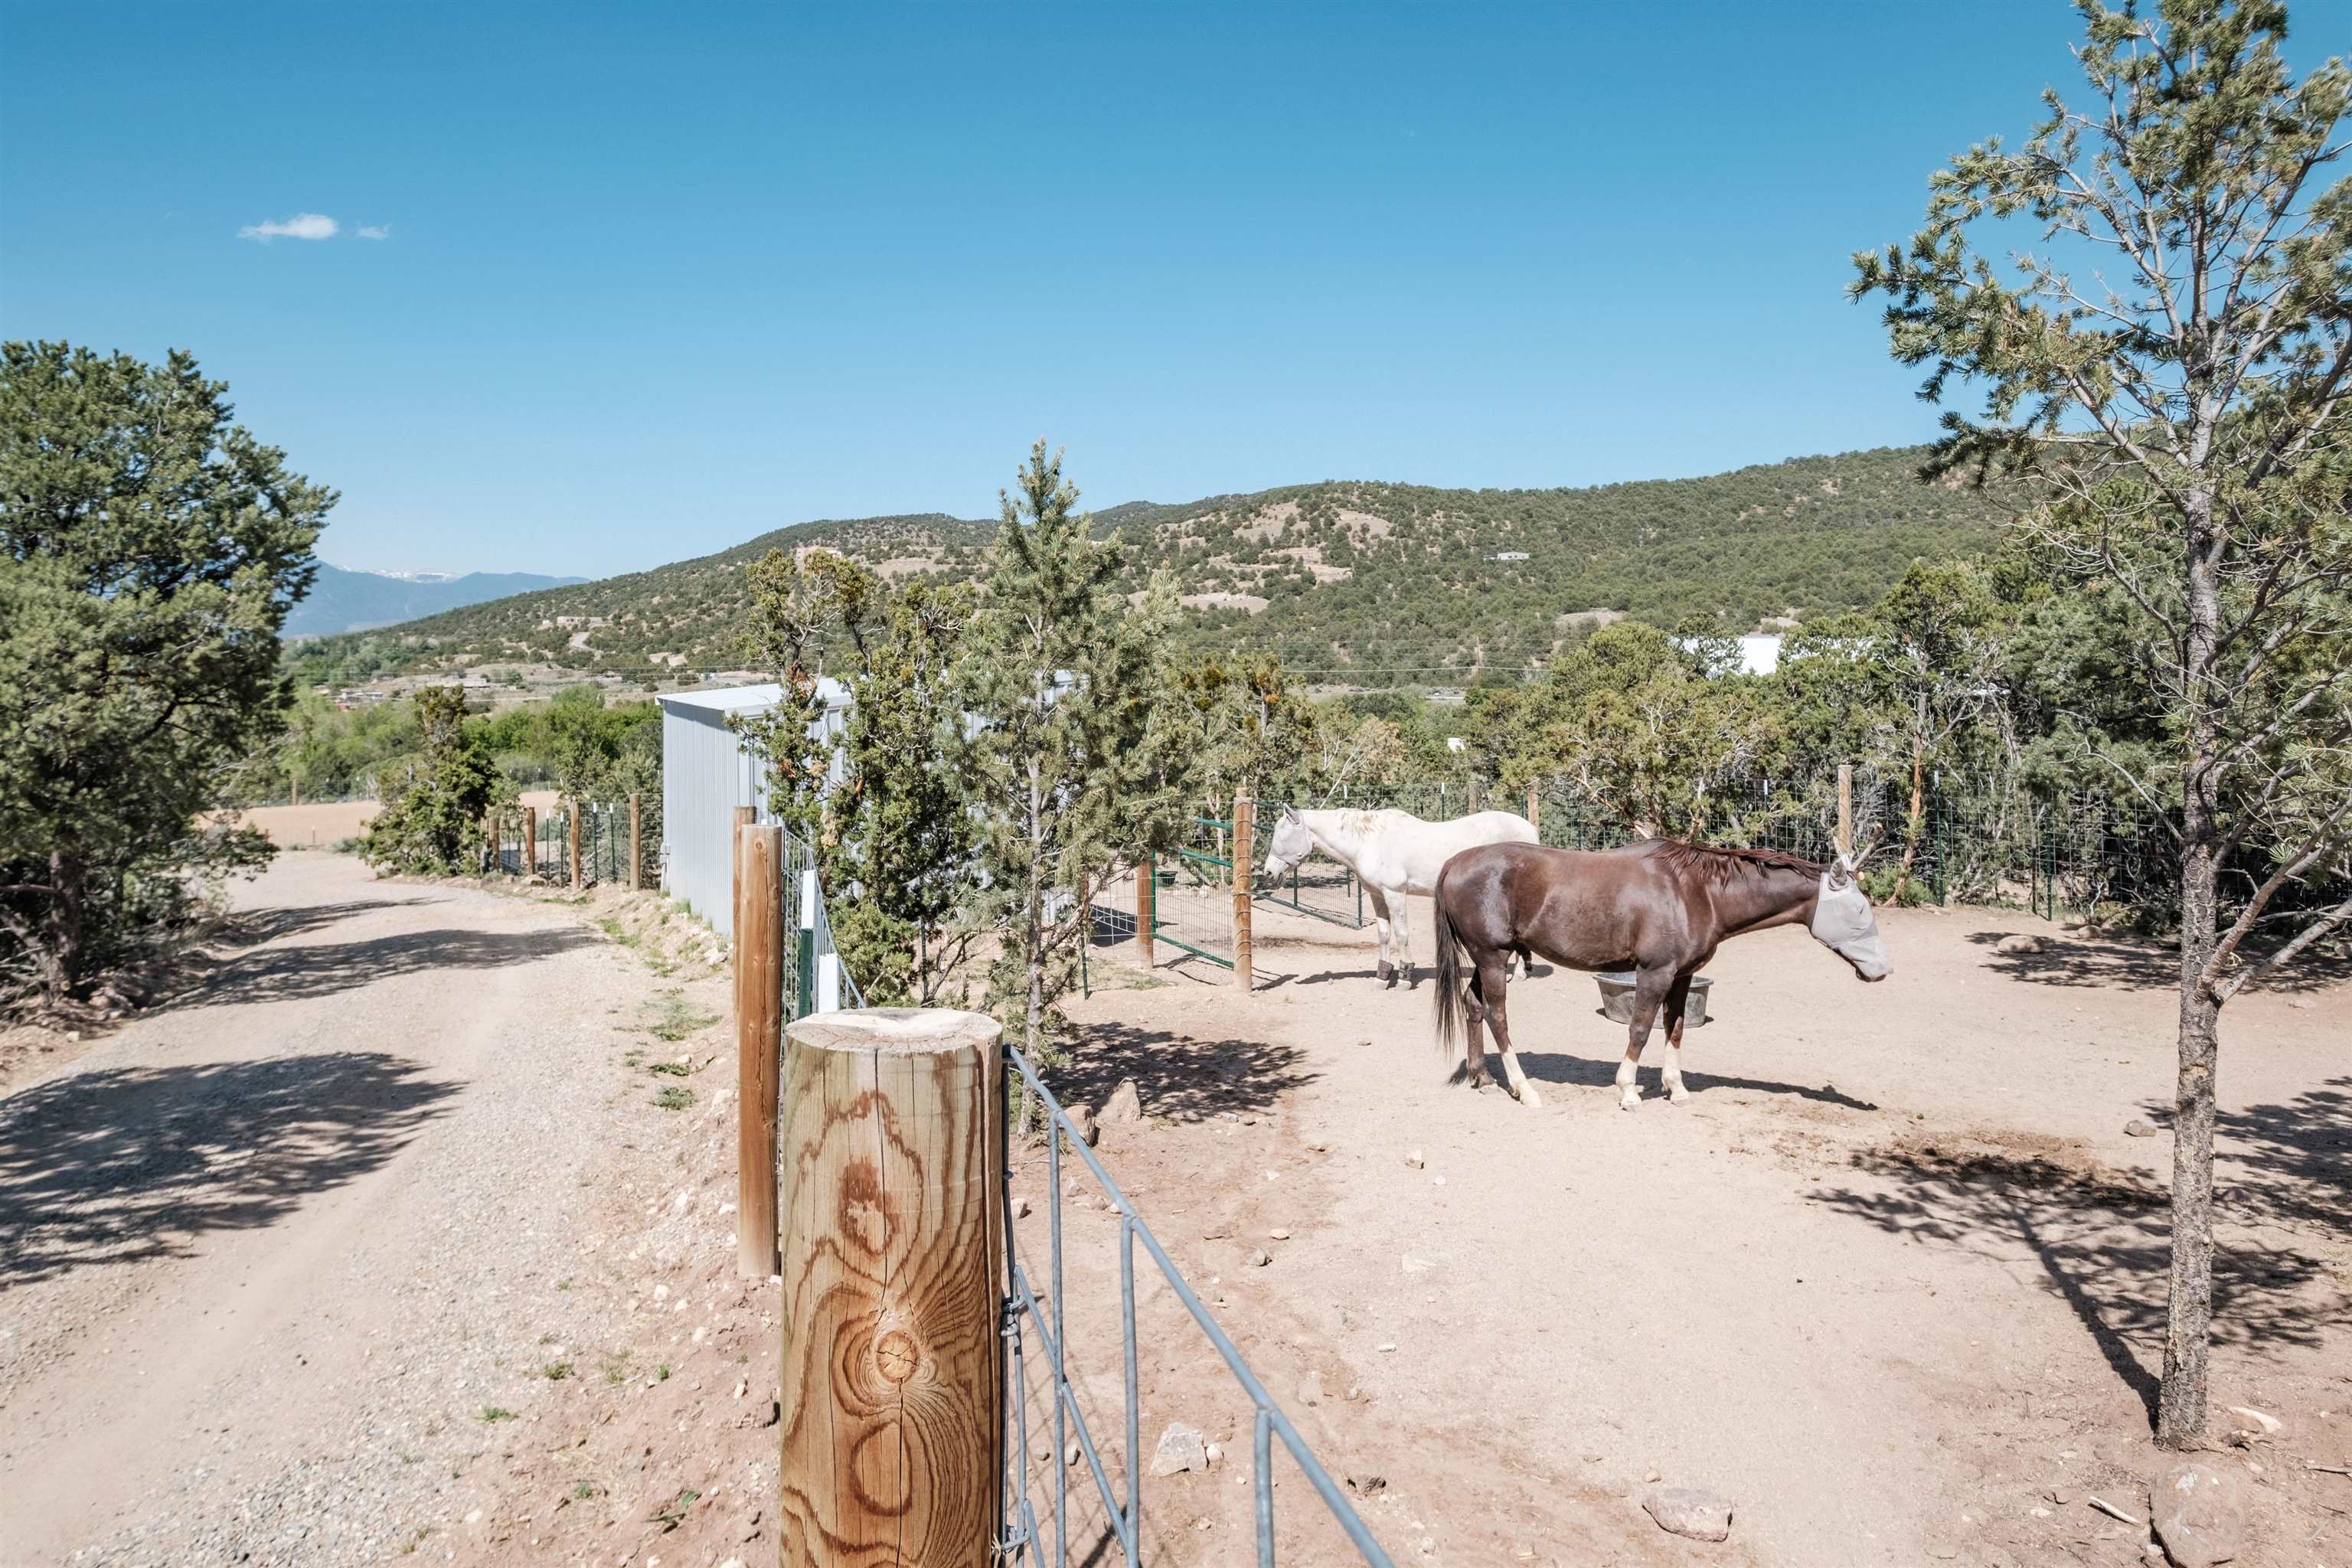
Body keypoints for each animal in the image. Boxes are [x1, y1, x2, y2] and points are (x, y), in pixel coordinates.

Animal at [1269, 804, 1543, 987]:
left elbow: (1401, 935)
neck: (1369, 842)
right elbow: (1383, 935)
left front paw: (1404, 977)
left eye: (1283, 835)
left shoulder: (1395, 894)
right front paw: (1382, 977)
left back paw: (1518, 975)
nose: (1269, 872)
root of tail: (1530, 829)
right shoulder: (1377, 895)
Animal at [1429, 841, 1890, 1109]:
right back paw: (1523, 1089)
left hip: (1488, 959)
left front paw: (1676, 1087)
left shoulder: (1682, 975)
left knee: (1473, 1006)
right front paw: (1629, 1090)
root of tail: (1454, 861)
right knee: (1497, 1016)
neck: (1695, 892)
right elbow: (1640, 1028)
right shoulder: (1655, 972)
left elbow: (1676, 1028)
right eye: (1860, 910)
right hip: (1493, 958)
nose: (1883, 969)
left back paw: (1484, 1078)